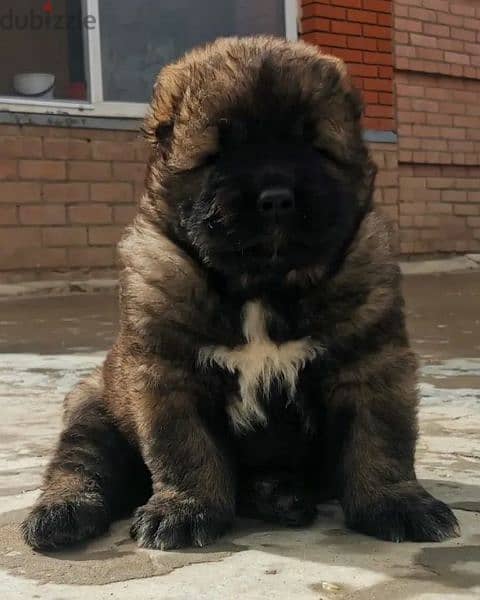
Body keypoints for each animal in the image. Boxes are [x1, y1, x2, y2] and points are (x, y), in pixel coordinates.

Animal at [21, 37, 458, 552]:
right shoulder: (169, 375)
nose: (276, 198)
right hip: (93, 404)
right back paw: (60, 513)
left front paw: (397, 503)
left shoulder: (370, 361)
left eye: (314, 147)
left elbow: (379, 440)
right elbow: (185, 448)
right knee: (80, 463)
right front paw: (184, 509)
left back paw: (277, 495)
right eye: (220, 153)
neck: (262, 288)